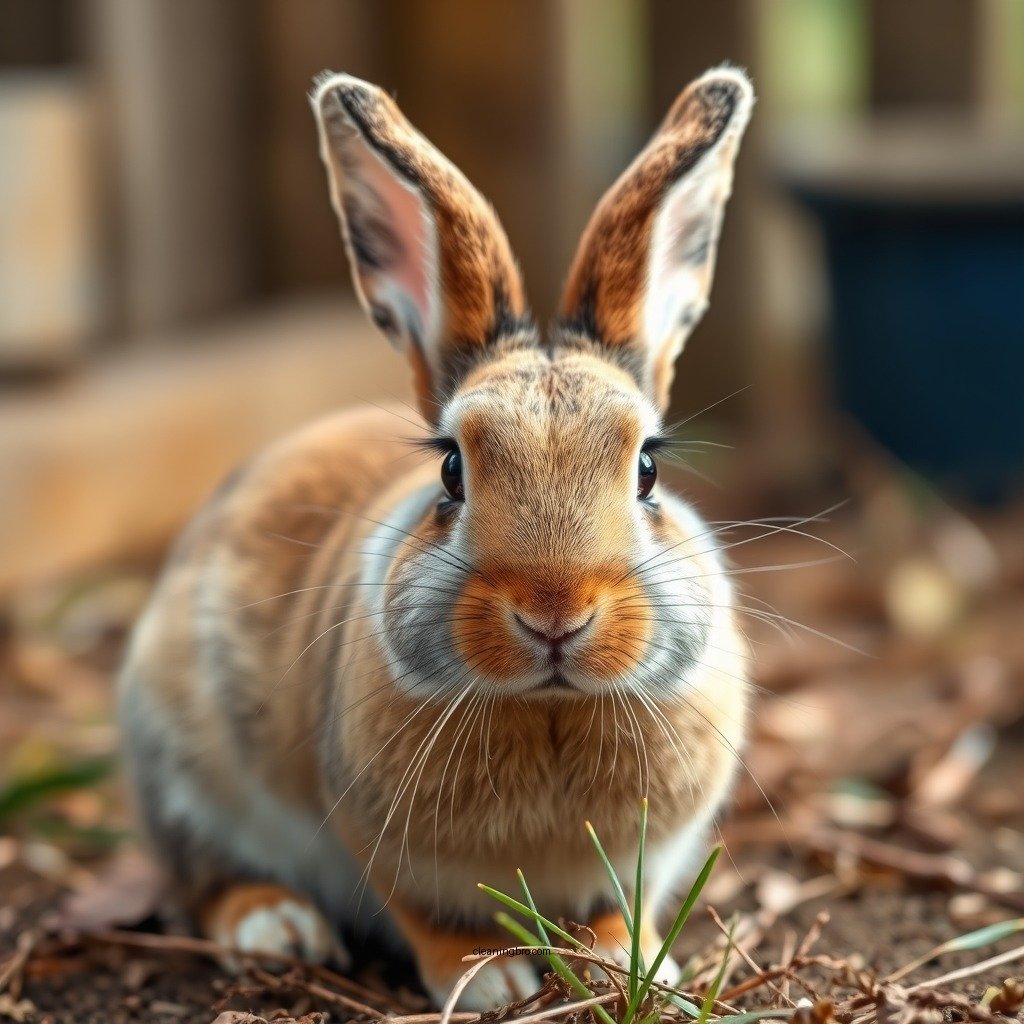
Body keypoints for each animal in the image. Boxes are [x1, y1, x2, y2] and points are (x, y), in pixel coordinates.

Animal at [117, 64, 754, 1010]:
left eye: (648, 468)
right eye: (452, 470)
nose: (555, 612)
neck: (549, 709)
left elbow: (616, 911)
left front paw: (633, 965)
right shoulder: (375, 839)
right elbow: (426, 916)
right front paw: (485, 980)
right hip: (180, 766)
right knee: (205, 878)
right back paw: (278, 927)